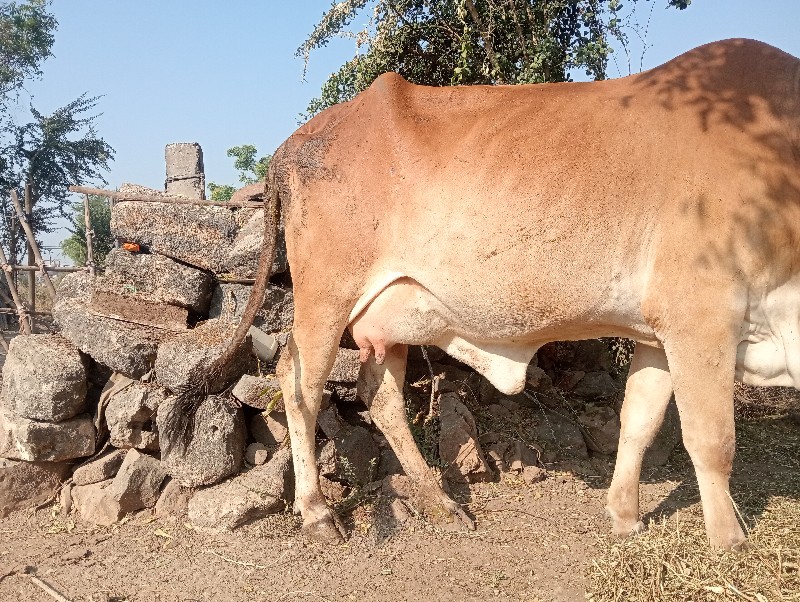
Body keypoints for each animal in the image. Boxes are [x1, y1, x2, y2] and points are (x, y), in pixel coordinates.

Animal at [195, 38, 800, 548]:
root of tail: (294, 142)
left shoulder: (657, 332)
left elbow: (639, 423)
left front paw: (624, 517)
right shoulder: (701, 314)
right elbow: (712, 440)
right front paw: (729, 542)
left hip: (390, 314)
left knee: (379, 392)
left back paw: (439, 502)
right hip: (326, 295)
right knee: (299, 385)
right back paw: (319, 511)